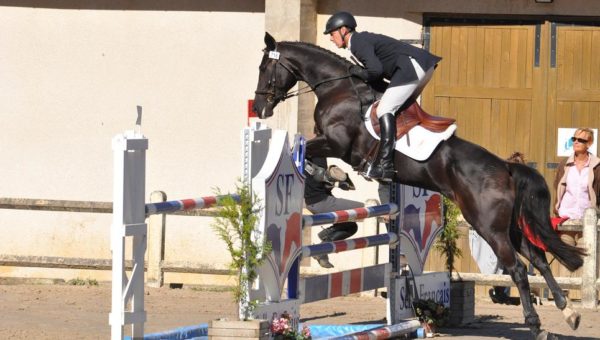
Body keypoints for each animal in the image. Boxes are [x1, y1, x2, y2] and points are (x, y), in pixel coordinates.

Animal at [252, 32, 584, 340]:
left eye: (264, 67)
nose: (259, 108)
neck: (338, 88)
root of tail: (506, 167)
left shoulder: (336, 143)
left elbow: (306, 151)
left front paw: (329, 177)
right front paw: (335, 183)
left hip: (488, 226)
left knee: (517, 268)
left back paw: (536, 325)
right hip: (509, 226)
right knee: (538, 258)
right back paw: (568, 312)